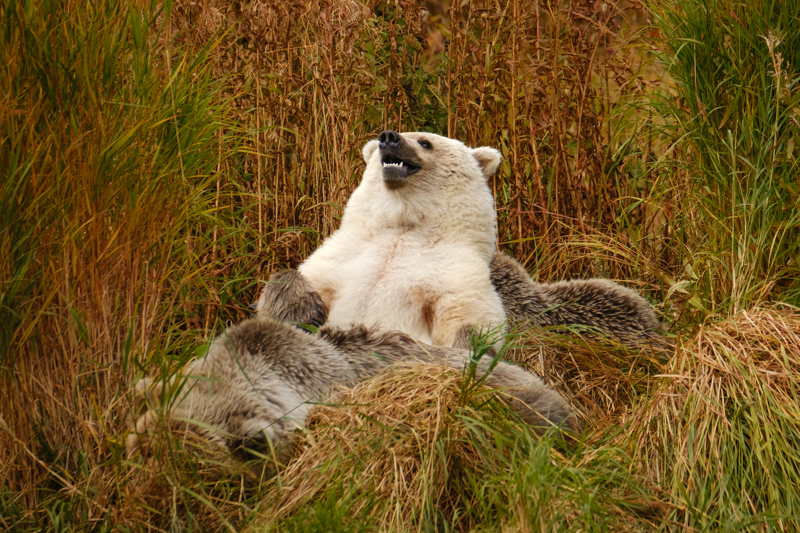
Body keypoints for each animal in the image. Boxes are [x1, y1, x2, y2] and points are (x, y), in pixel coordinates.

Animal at [297, 130, 505, 350]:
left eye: (425, 142)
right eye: (381, 142)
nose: (388, 138)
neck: (404, 224)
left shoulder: (456, 272)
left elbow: (468, 317)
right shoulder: (343, 257)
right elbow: (313, 281)